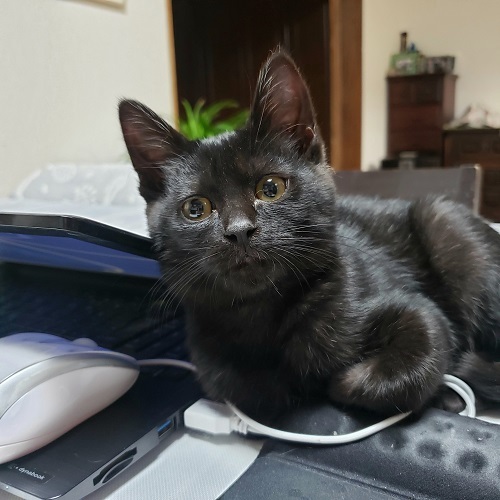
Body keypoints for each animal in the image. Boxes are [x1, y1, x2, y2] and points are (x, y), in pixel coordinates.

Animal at [119, 48, 500, 418]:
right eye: (195, 209)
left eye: (270, 188)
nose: (239, 231)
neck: (263, 317)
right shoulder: (216, 369)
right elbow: (253, 390)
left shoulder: (420, 313)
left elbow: (412, 362)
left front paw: (338, 382)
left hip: (445, 221)